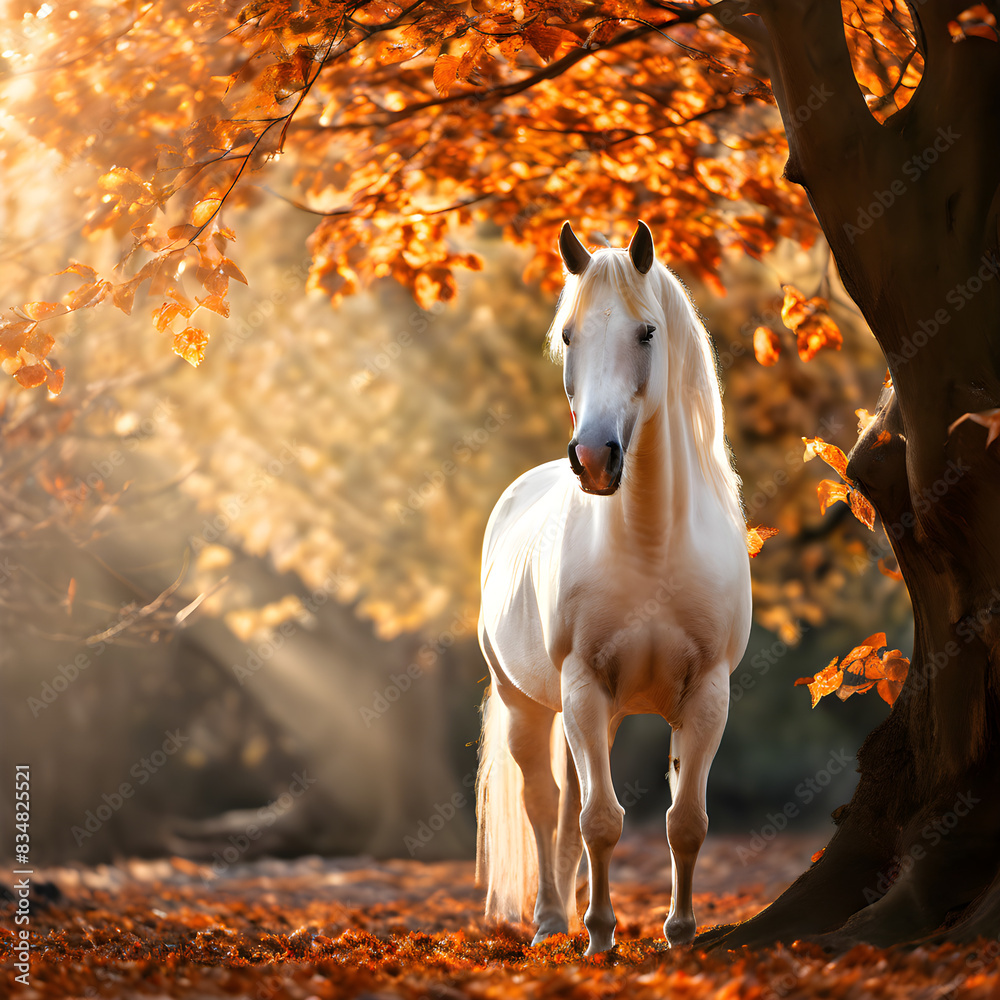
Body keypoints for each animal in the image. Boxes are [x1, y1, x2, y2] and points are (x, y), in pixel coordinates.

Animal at [476, 219, 752, 952]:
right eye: (569, 335)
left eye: (647, 332)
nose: (594, 458)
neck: (652, 544)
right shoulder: (582, 687)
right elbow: (601, 820)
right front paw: (600, 935)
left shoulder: (708, 694)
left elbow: (686, 821)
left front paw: (680, 931)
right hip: (528, 702)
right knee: (545, 805)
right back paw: (551, 921)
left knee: (572, 803)